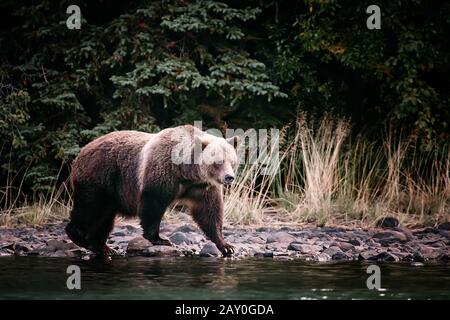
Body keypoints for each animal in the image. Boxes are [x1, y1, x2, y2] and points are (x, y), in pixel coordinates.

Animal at [66, 124, 239, 256]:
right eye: (218, 161)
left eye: (232, 161)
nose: (229, 177)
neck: (186, 173)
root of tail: (80, 153)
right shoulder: (162, 172)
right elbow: (153, 205)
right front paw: (160, 238)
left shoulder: (202, 188)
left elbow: (210, 213)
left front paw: (226, 245)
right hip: (100, 177)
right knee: (92, 209)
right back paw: (79, 236)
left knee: (105, 218)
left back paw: (104, 248)